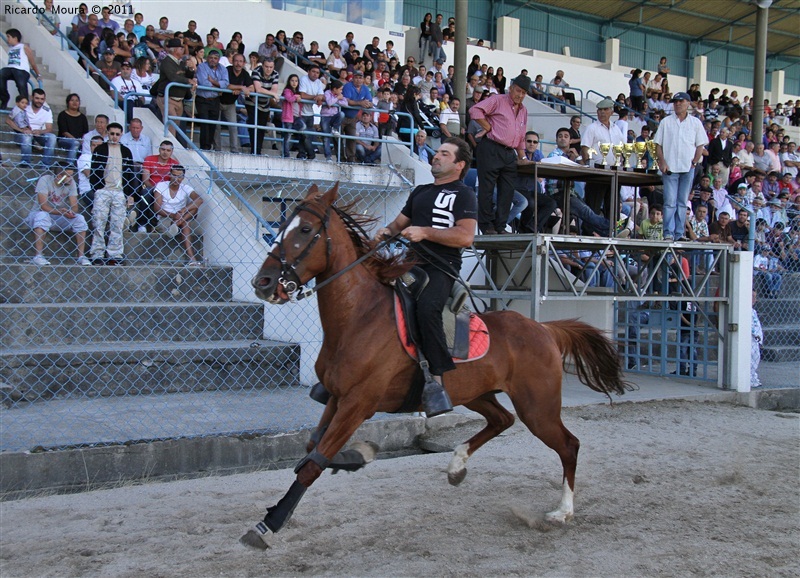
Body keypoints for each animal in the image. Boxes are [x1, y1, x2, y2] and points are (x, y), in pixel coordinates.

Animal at [244, 182, 632, 548]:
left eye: (305, 229)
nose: (263, 282)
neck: (360, 317)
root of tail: (544, 329)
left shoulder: (358, 403)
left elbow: (313, 464)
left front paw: (270, 523)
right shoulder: (338, 397)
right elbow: (313, 449)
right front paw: (358, 455)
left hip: (538, 407)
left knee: (568, 445)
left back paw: (562, 511)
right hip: (476, 394)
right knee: (502, 420)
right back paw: (457, 465)